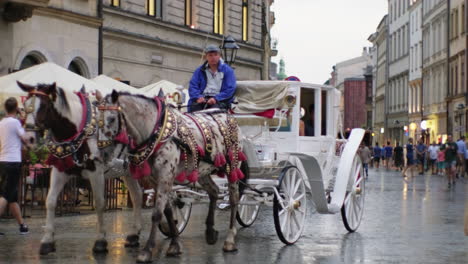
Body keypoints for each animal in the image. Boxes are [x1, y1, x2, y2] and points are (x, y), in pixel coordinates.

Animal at [17, 83, 144, 256]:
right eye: (24, 106)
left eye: (43, 107)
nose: (28, 139)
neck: (78, 131)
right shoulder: (60, 170)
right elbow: (50, 201)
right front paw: (47, 240)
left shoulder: (96, 172)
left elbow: (99, 203)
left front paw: (100, 241)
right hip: (128, 172)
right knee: (137, 196)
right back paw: (134, 235)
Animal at [98, 90, 245, 262]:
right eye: (96, 120)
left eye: (111, 118)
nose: (102, 153)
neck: (155, 132)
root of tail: (228, 116)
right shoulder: (156, 180)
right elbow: (167, 211)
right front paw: (175, 245)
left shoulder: (165, 176)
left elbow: (156, 214)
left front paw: (146, 251)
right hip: (202, 171)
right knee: (214, 191)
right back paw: (210, 232)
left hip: (233, 166)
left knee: (234, 199)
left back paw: (230, 240)